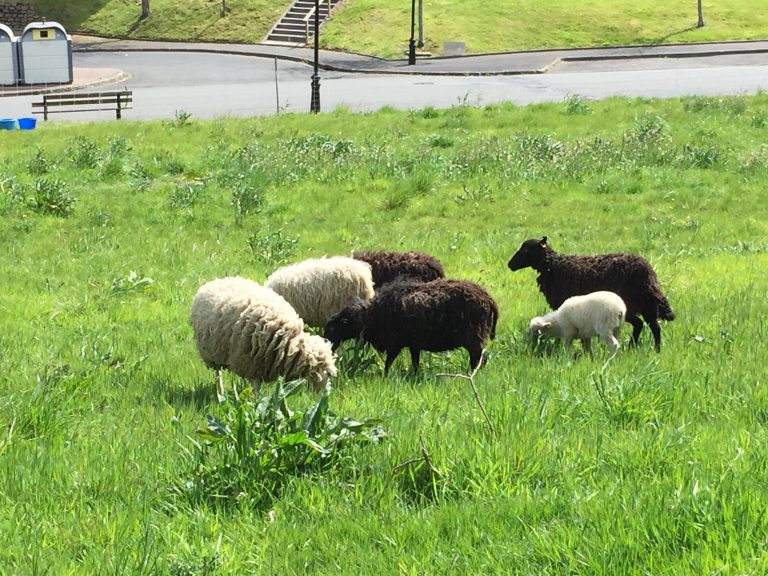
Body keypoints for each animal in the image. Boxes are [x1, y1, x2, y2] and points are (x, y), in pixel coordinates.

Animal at [189, 276, 336, 398]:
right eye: (325, 374)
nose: (320, 396)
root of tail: (215, 281)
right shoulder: (252, 363)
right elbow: (256, 387)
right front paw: (256, 402)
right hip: (211, 354)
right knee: (217, 374)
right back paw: (220, 393)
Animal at [508, 235, 676, 352]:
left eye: (526, 249)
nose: (510, 264)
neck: (552, 266)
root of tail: (648, 271)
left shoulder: (562, 305)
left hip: (638, 303)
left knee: (649, 326)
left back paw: (652, 349)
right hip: (646, 304)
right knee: (648, 325)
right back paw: (641, 348)